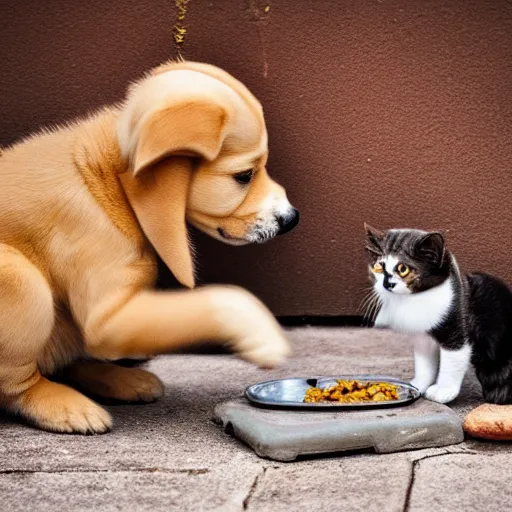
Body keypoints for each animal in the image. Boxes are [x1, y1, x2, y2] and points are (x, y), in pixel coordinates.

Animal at [0, 61, 298, 436]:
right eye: (244, 176)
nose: (292, 218)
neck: (110, 181)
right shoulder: (107, 317)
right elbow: (224, 299)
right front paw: (260, 334)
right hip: (21, 281)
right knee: (17, 384)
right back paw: (62, 405)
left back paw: (121, 379)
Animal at [364, 224, 512, 404]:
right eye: (378, 267)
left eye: (403, 269)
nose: (386, 284)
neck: (416, 300)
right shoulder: (423, 339)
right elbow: (424, 364)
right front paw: (418, 385)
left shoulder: (456, 330)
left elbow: (452, 362)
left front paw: (443, 390)